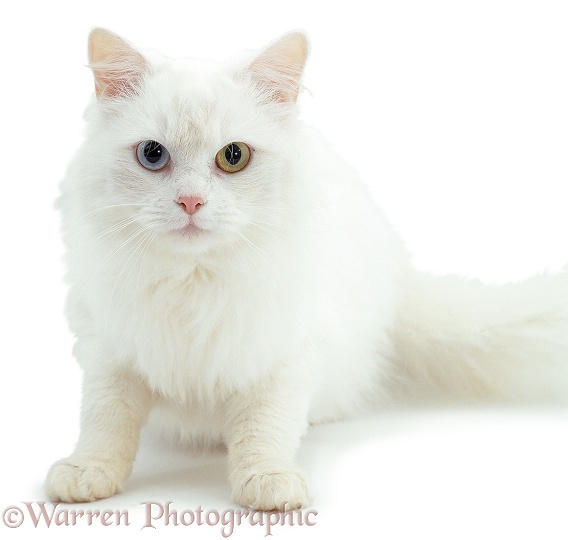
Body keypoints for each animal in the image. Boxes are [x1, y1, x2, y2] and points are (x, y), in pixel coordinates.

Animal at [44, 28, 568, 510]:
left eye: (233, 156)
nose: (190, 202)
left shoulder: (285, 357)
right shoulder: (108, 350)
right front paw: (86, 470)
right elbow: (105, 421)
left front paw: (268, 481)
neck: (193, 280)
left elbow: (265, 428)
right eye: (153, 154)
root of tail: (397, 272)